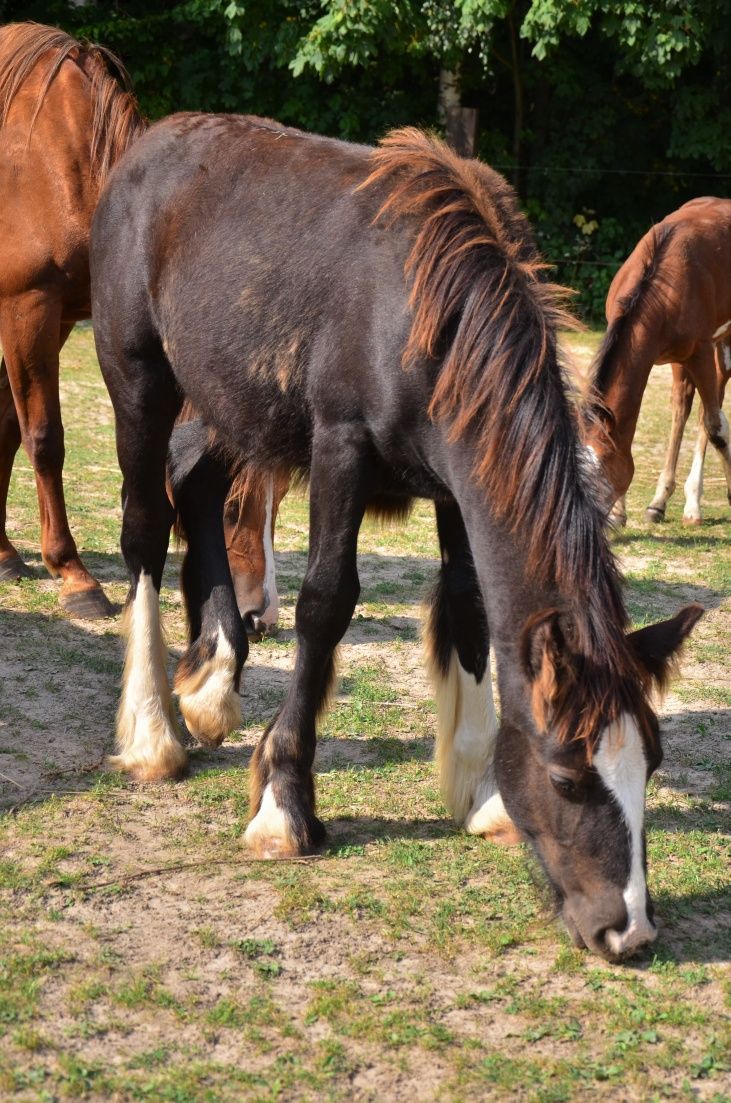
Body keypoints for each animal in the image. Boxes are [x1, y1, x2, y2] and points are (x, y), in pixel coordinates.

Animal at [0, 23, 284, 630]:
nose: (261, 616)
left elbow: (9, 428)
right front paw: (72, 574)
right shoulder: (26, 308)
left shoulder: (57, 316)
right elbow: (44, 439)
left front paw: (6, 554)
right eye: (231, 505)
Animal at [93, 114, 705, 957]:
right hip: (141, 381)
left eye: (649, 761)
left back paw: (214, 677)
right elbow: (326, 603)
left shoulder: (456, 480)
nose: (628, 928)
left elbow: (472, 611)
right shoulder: (339, 447)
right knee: (147, 529)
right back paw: (154, 734)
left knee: (197, 484)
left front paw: (482, 791)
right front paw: (283, 804)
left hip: (232, 400)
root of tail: (147, 147)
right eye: (566, 776)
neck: (423, 312)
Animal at [590, 198, 731, 525]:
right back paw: (664, 501)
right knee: (686, 407)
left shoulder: (699, 352)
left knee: (710, 413)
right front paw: (620, 512)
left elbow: (716, 426)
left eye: (600, 473)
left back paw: (692, 505)